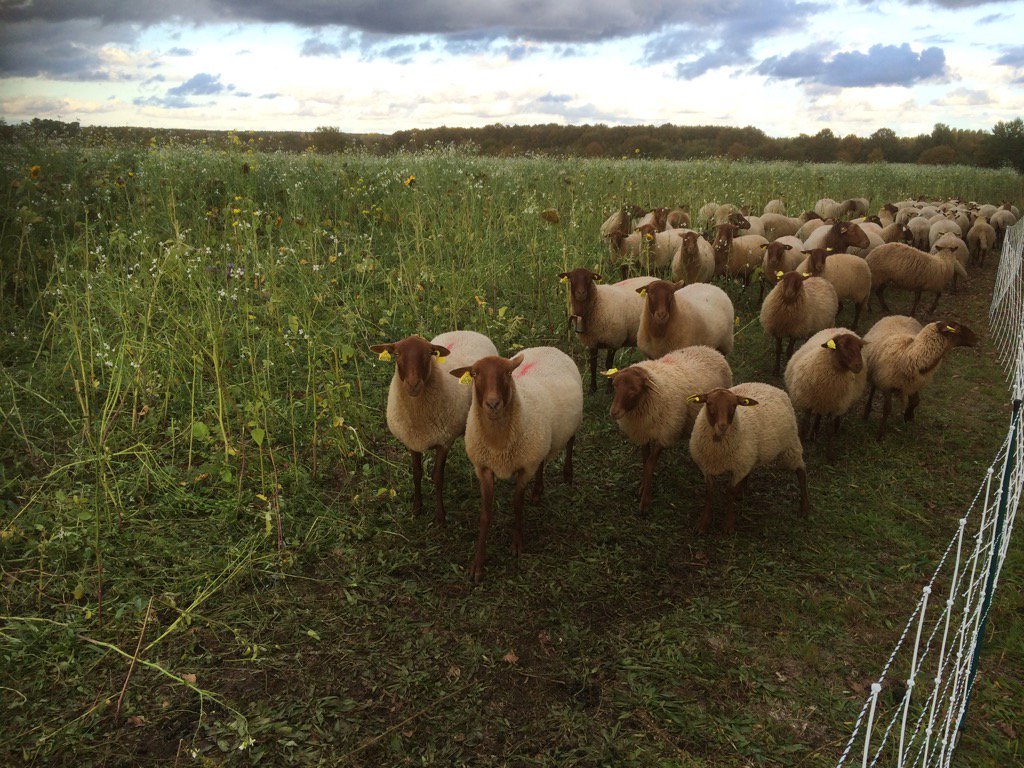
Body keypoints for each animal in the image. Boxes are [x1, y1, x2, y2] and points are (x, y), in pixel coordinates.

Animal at [370, 330, 499, 524]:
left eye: (428, 354)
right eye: (397, 354)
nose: (413, 385)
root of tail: (466, 331)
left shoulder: (444, 441)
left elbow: (438, 477)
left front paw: (440, 516)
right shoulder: (412, 442)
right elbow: (417, 474)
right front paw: (417, 509)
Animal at [450, 347, 583, 582]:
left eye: (508, 373)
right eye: (474, 374)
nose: (493, 404)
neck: (498, 444)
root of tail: (548, 347)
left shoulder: (524, 469)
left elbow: (517, 504)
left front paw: (517, 544)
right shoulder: (484, 468)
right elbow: (485, 515)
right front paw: (478, 565)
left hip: (570, 425)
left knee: (570, 442)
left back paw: (567, 474)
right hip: (541, 441)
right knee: (542, 462)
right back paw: (538, 490)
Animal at [606, 346, 732, 513]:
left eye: (634, 391)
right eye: (615, 386)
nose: (614, 412)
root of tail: (711, 350)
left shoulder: (665, 434)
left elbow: (650, 464)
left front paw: (645, 501)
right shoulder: (644, 433)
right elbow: (645, 460)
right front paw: (642, 488)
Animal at [687, 383, 808, 534]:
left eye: (734, 405)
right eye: (709, 403)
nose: (722, 426)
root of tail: (770, 386)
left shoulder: (738, 467)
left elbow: (730, 492)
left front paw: (728, 524)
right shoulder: (706, 467)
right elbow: (709, 492)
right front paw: (703, 524)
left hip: (790, 444)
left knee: (801, 471)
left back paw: (804, 509)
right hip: (752, 455)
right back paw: (742, 492)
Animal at [783, 328, 867, 459]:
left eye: (860, 347)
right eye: (842, 346)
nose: (858, 366)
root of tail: (841, 328)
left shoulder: (834, 406)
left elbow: (829, 430)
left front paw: (830, 454)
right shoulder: (807, 401)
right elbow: (805, 424)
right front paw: (803, 441)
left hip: (839, 402)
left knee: (834, 416)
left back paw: (834, 427)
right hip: (820, 401)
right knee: (818, 414)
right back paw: (814, 431)